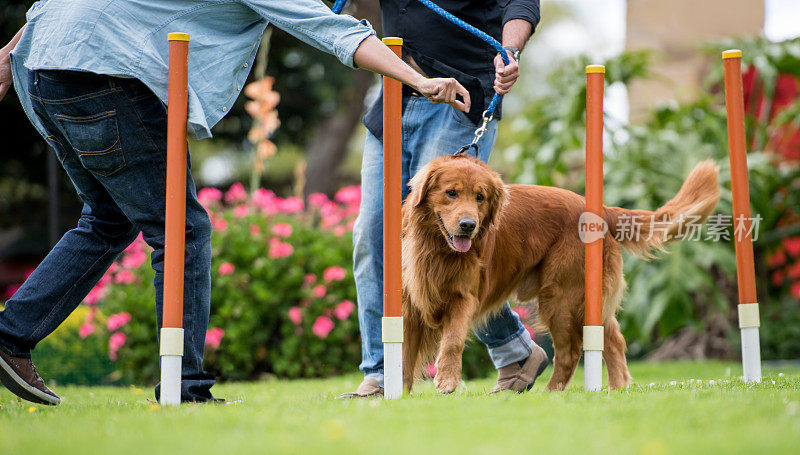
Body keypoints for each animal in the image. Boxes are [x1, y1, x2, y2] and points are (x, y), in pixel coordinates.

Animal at [404, 155, 720, 394]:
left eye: (480, 197)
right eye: (451, 193)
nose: (468, 225)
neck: (436, 248)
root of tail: (600, 210)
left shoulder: (464, 297)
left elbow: (452, 340)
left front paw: (446, 380)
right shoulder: (409, 305)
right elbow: (405, 354)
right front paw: (401, 397)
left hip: (561, 297)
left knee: (570, 352)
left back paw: (552, 394)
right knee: (612, 337)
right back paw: (618, 389)